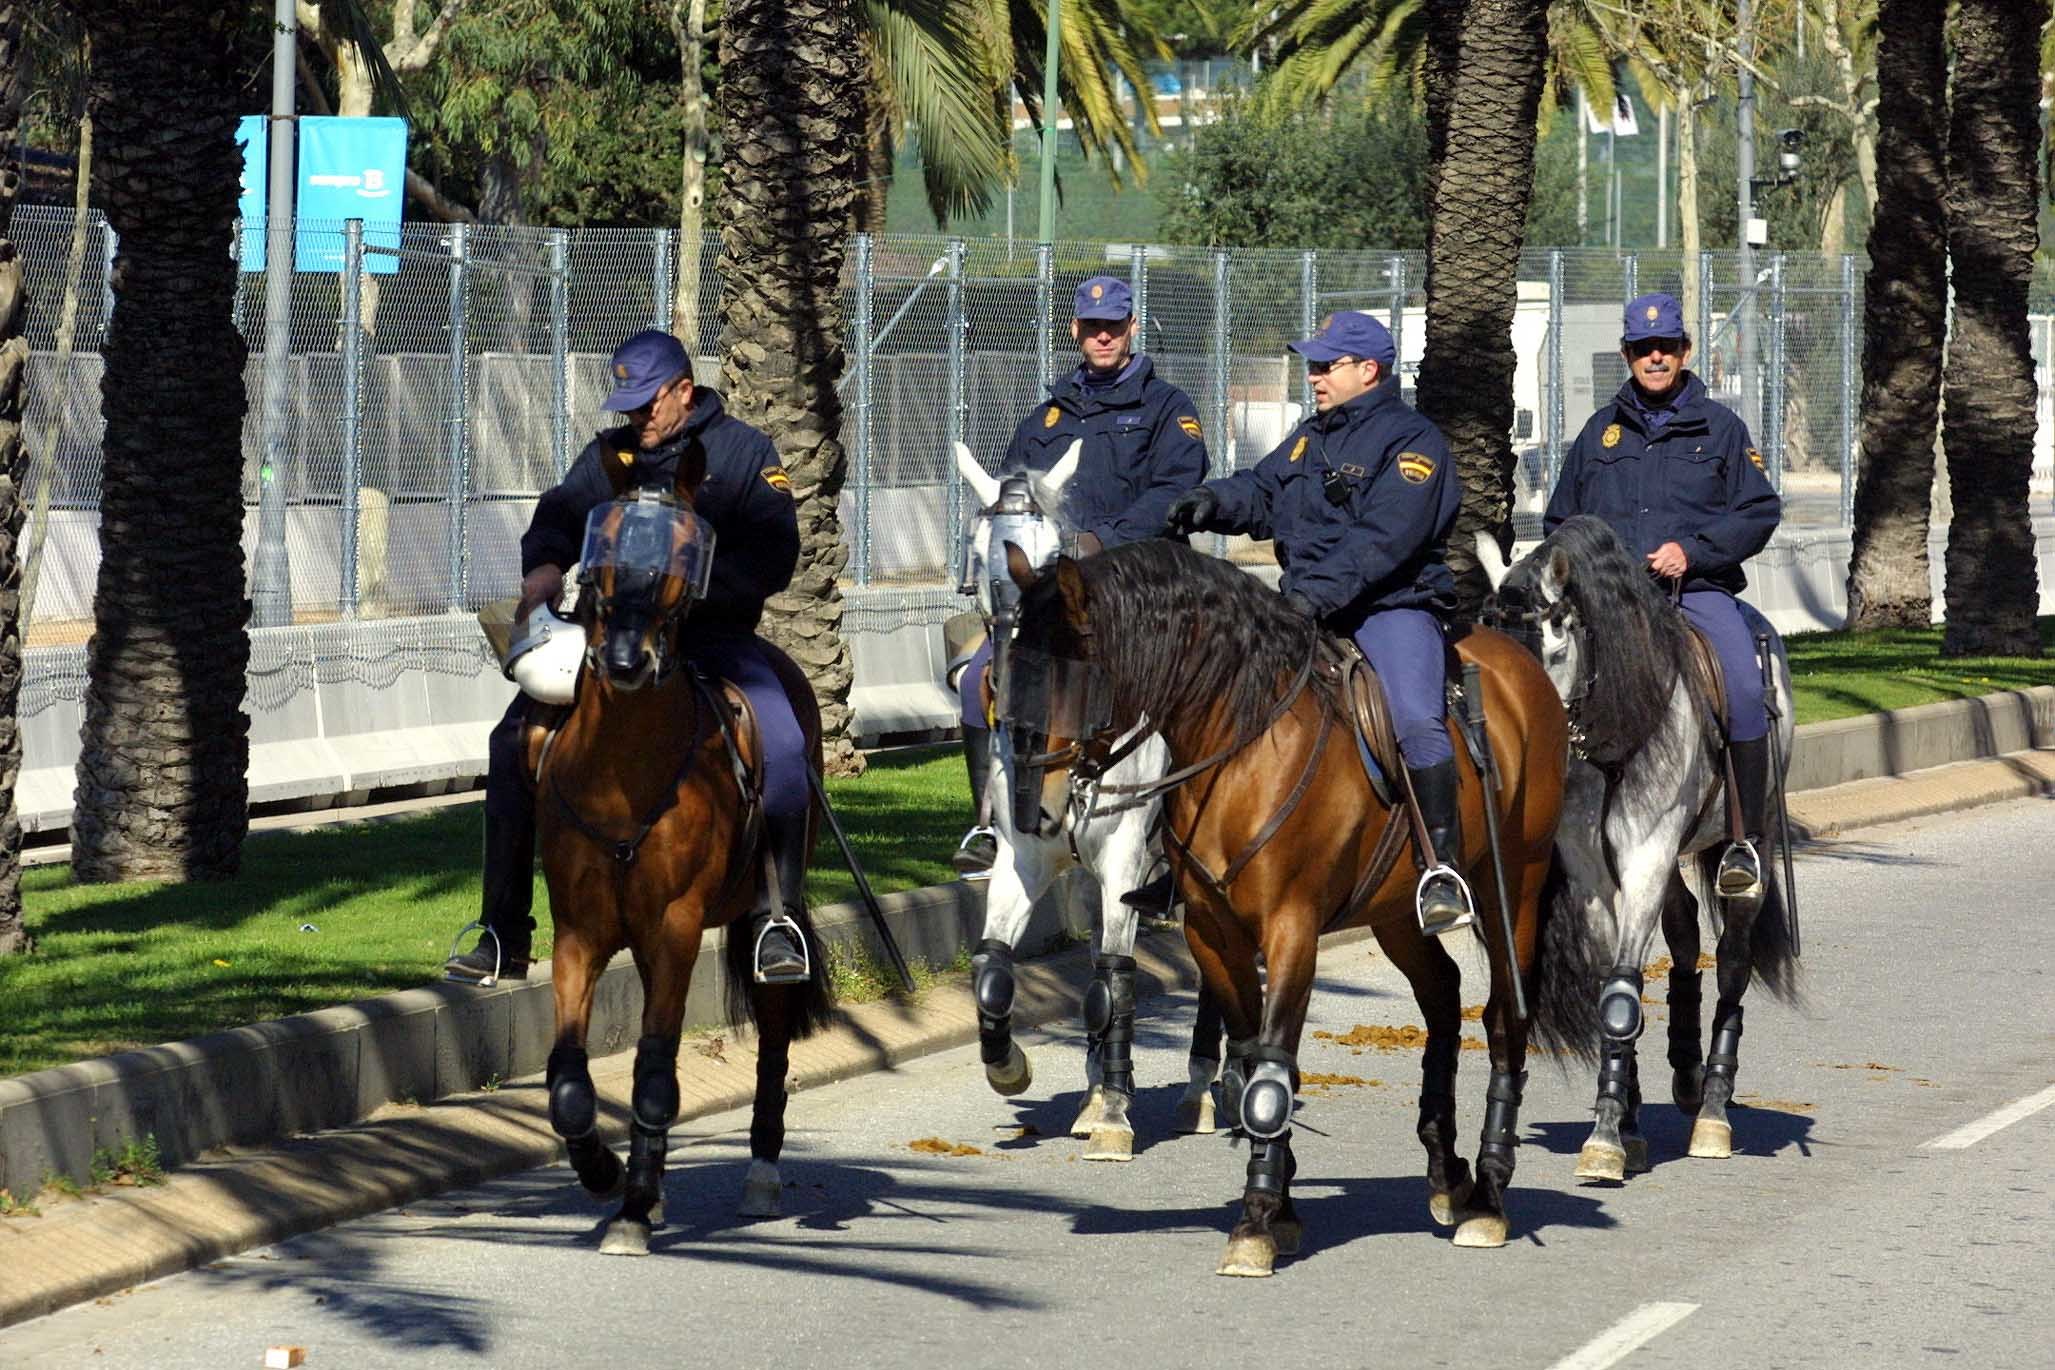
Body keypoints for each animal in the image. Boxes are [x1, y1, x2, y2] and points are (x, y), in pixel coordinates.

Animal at [534, 447, 830, 1257]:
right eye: (604, 541)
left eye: (685, 550)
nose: (626, 659)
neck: (622, 773)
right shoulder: (581, 931)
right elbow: (567, 1077)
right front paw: (604, 1172)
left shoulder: (673, 926)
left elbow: (655, 1068)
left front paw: (633, 1205)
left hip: (760, 919)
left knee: (772, 1037)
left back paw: (759, 1169)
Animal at [953, 445, 1224, 1166]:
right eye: (981, 555)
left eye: (1054, 553)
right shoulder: (1025, 860)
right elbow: (993, 969)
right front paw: (1011, 1067)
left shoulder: (1126, 860)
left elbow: (1114, 979)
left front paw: (1115, 1112)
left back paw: (1202, 1088)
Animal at [1002, 534, 1594, 1273]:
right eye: (1010, 671)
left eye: (1071, 677)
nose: (1031, 809)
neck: (1245, 744)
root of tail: (1525, 672)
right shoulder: (1213, 934)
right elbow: (1251, 1059)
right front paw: (1278, 1200)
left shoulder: (1292, 930)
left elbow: (1271, 1066)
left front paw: (1257, 1218)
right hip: (1396, 914)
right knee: (1442, 996)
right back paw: (1445, 1170)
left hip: (1512, 886)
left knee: (1504, 1018)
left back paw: (1487, 1194)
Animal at [1479, 519, 1800, 1183]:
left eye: (1553, 645)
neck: (1615, 738)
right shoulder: (1598, 876)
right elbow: (1613, 985)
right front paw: (1624, 1121)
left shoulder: (1647, 858)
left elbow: (1621, 996)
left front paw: (1605, 1134)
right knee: (1683, 933)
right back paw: (1686, 1072)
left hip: (1743, 846)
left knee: (1732, 962)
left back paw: (1713, 1108)